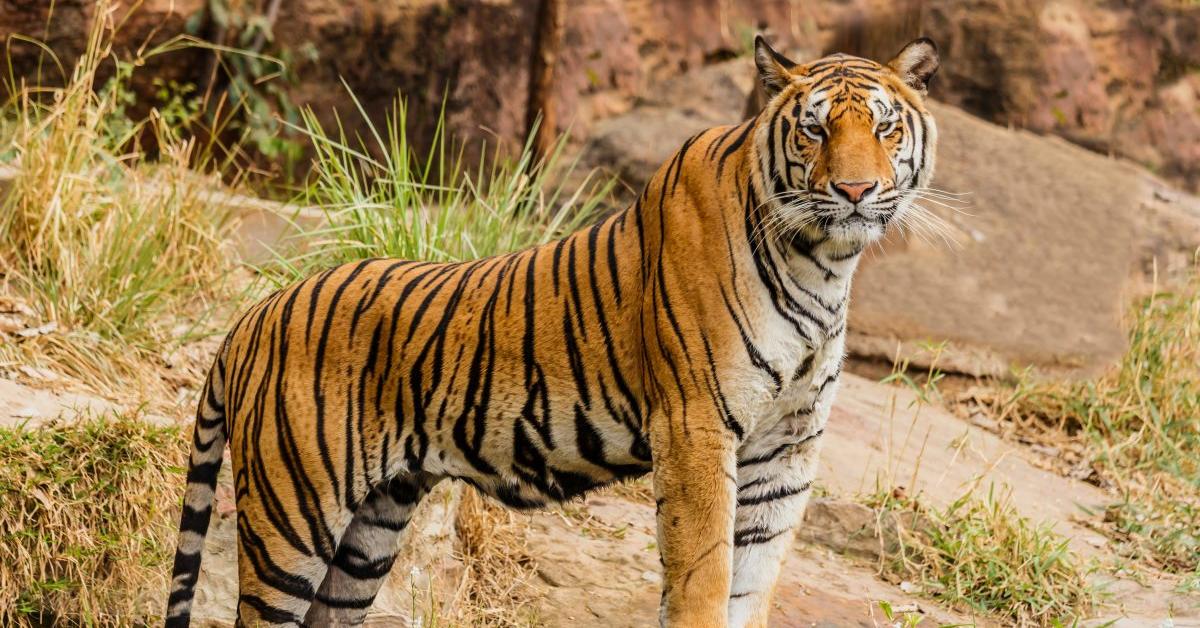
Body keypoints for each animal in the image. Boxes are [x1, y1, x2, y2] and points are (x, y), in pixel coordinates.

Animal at [164, 35, 940, 628]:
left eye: (884, 128)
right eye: (815, 129)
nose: (855, 192)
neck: (824, 263)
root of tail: (254, 315)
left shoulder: (787, 448)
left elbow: (752, 583)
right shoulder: (696, 427)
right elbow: (704, 577)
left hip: (370, 531)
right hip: (292, 516)